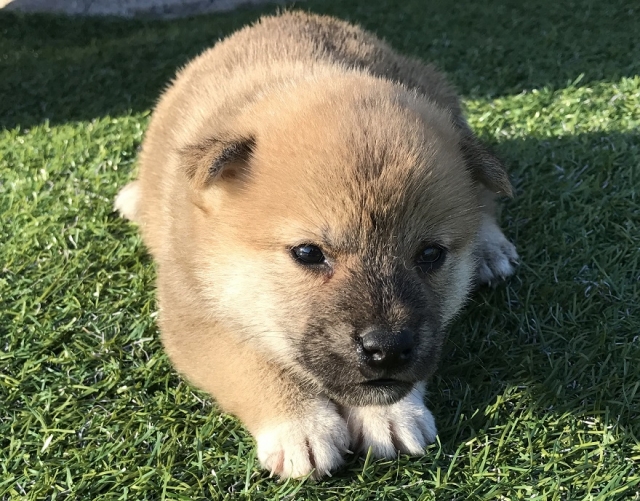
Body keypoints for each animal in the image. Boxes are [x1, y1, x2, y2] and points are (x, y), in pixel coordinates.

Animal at [115, 11, 518, 479]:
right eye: (308, 253)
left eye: (430, 254)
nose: (387, 349)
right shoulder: (192, 319)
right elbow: (250, 363)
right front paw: (300, 425)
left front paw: (390, 414)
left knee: (485, 197)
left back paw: (489, 248)